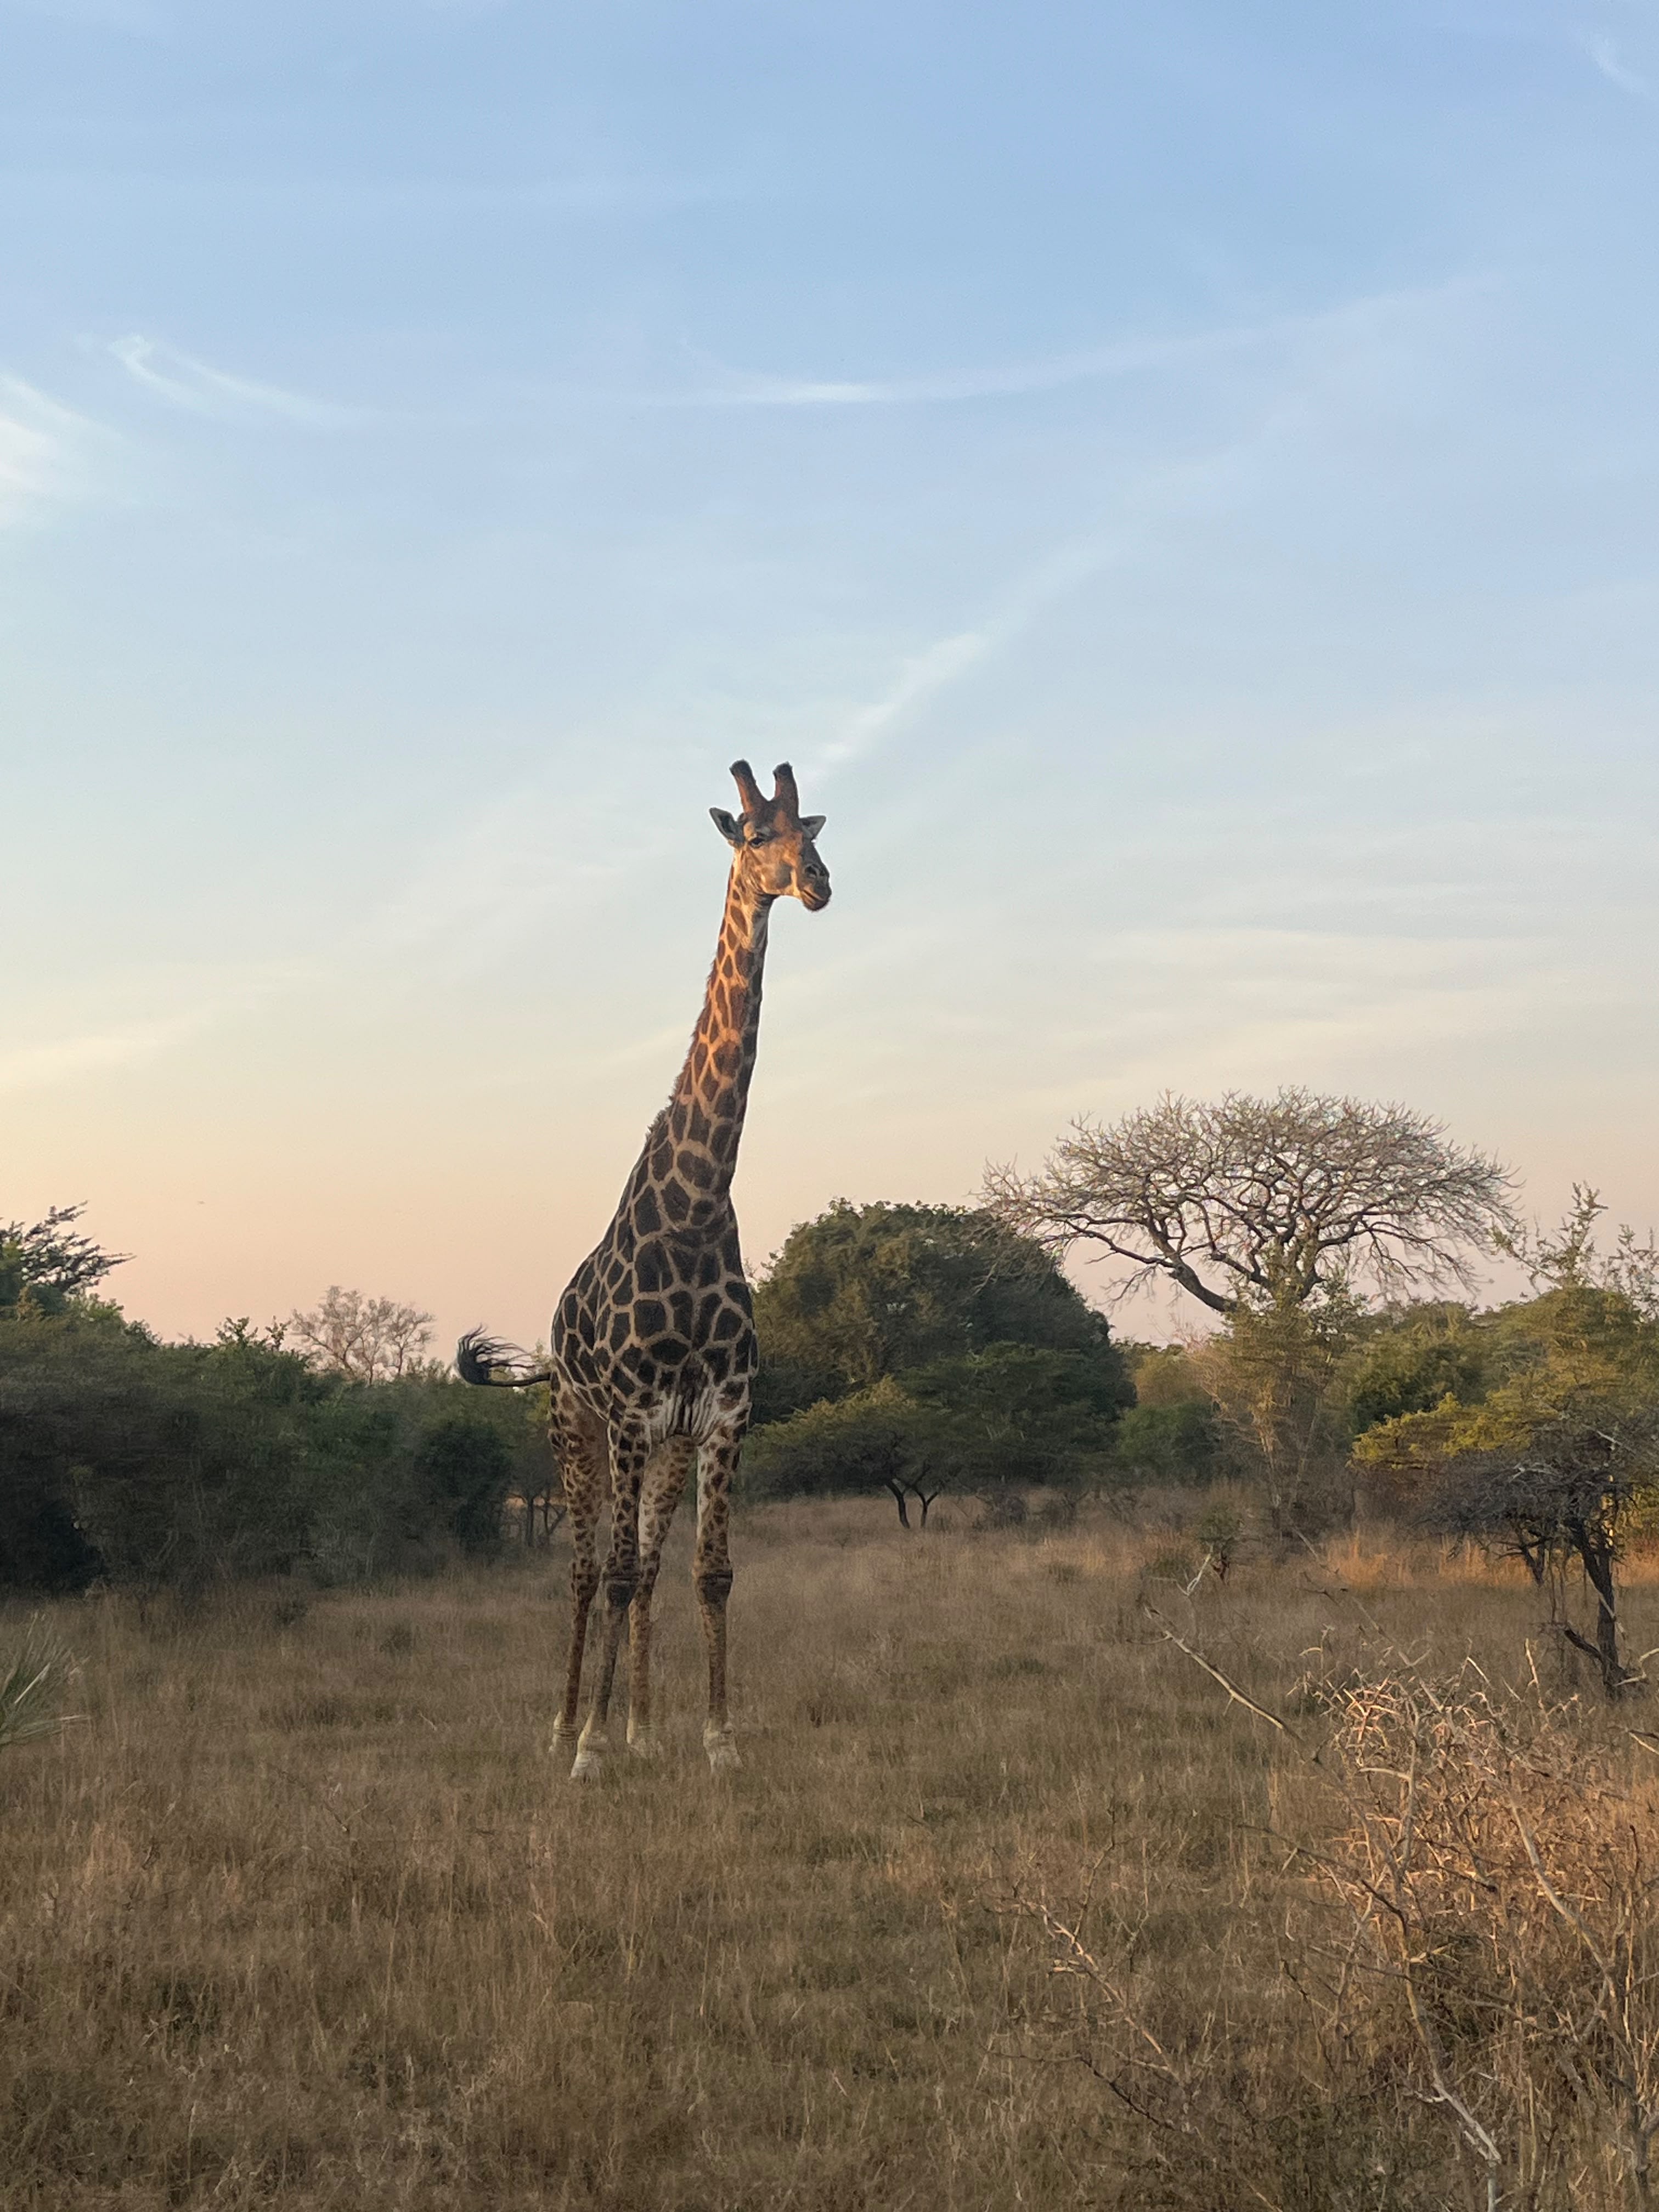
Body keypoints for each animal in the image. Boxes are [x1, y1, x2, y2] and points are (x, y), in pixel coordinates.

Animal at [458, 760, 830, 1779]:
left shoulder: (723, 1413)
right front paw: (587, 1750)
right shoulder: (625, 1411)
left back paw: (639, 1727)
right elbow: (616, 1571)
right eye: (754, 834)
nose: (817, 881)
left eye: (812, 830)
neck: (697, 1206)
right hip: (575, 1428)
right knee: (590, 1570)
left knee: (650, 1569)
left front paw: (713, 1740)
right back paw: (567, 1729)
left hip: (663, 1444)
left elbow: (710, 1572)